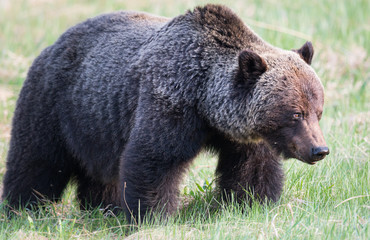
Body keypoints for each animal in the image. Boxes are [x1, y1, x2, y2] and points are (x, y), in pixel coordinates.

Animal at [1, 4, 328, 220]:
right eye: (295, 113)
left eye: (318, 111)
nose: (319, 149)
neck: (205, 102)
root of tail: (52, 44)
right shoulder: (169, 101)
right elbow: (154, 160)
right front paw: (154, 215)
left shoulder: (244, 136)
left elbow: (252, 170)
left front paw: (251, 205)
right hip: (54, 104)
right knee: (36, 162)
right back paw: (22, 208)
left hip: (97, 124)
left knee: (100, 172)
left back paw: (103, 207)